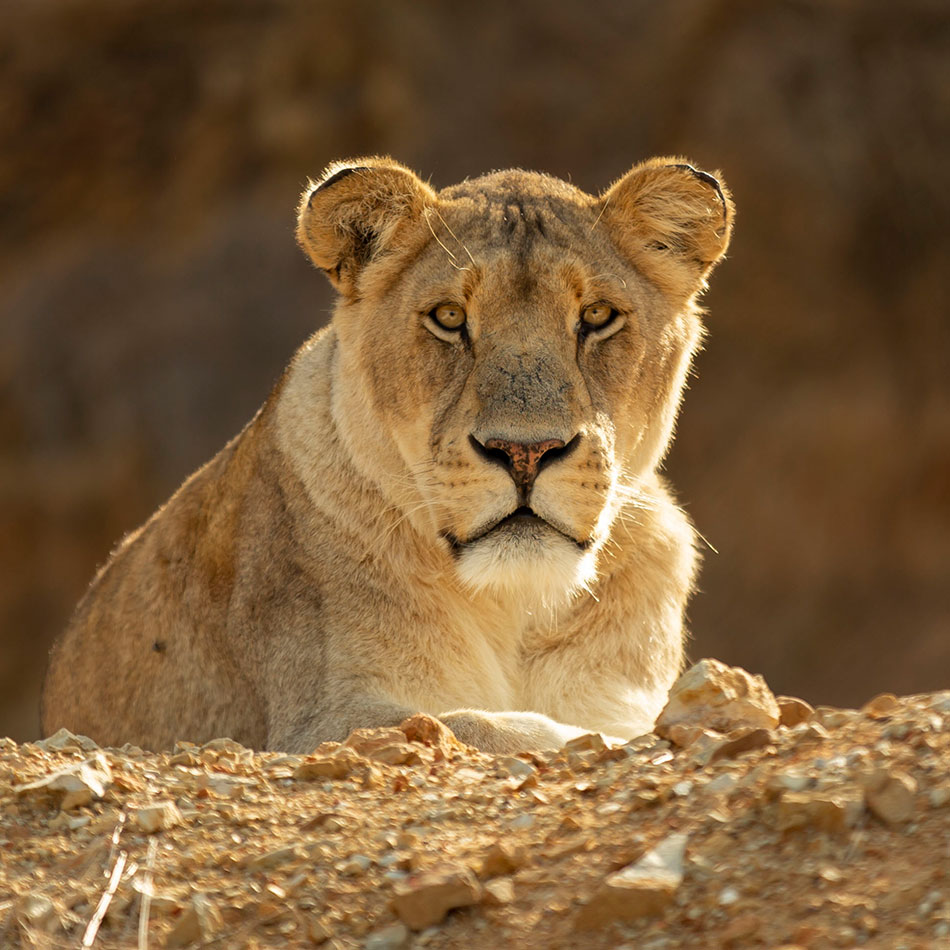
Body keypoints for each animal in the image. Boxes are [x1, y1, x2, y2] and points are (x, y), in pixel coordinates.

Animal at [41, 156, 733, 754]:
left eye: (597, 315)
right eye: (449, 317)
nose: (524, 451)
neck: (515, 607)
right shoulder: (319, 720)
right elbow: (488, 725)